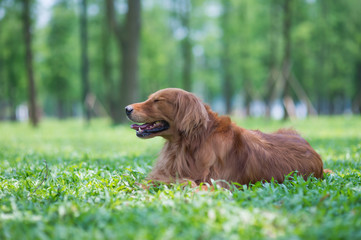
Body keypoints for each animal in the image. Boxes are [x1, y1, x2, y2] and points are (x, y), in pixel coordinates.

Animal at [124, 88, 324, 188]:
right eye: (150, 98)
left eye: (157, 101)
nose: (127, 108)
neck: (191, 142)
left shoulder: (216, 184)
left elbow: (183, 182)